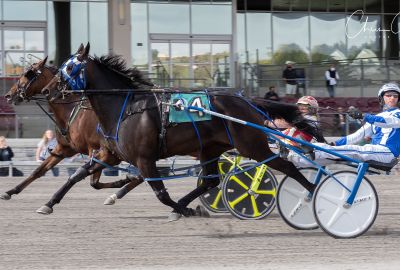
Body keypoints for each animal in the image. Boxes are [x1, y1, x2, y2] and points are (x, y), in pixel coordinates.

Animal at [0, 48, 142, 213]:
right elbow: (39, 170)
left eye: (28, 74)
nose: (9, 95)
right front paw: (10, 191)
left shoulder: (99, 152)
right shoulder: (64, 148)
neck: (71, 111)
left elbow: (92, 181)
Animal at [39, 42, 324, 219]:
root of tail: (247, 101)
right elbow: (76, 176)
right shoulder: (108, 153)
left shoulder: (144, 159)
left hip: (252, 145)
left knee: (287, 166)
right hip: (210, 149)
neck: (126, 107)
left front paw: (182, 210)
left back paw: (313, 192)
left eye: (70, 67)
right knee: (210, 180)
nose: (48, 89)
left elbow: (161, 193)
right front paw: (48, 203)